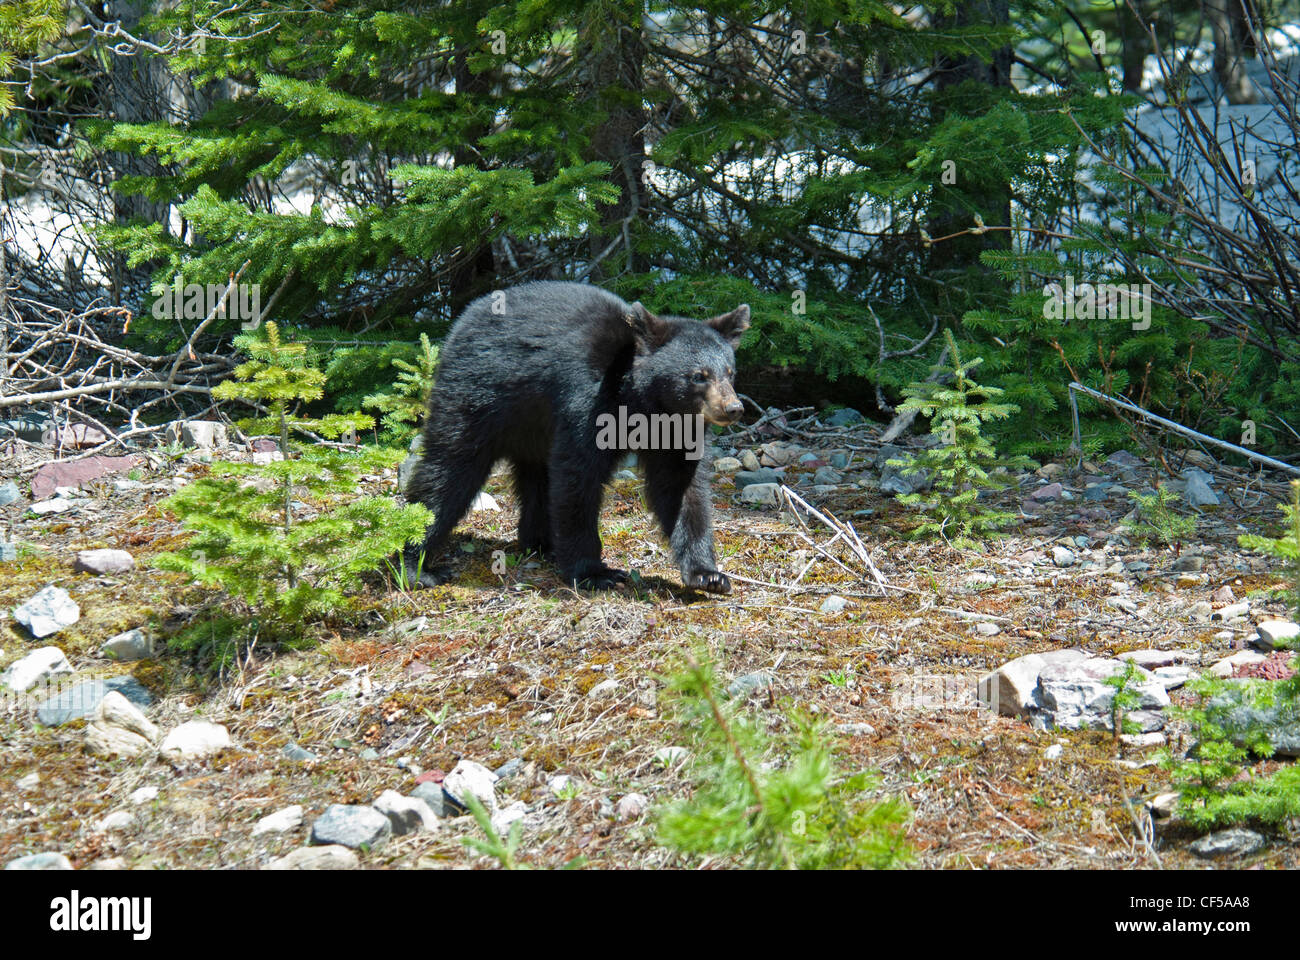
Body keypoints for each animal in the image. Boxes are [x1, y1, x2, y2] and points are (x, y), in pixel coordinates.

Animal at [405, 278, 754, 590]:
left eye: (730, 372)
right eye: (698, 376)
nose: (734, 408)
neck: (642, 402)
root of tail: (464, 318)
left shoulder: (677, 429)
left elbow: (680, 488)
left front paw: (707, 574)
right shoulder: (588, 399)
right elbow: (578, 477)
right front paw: (594, 573)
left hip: (531, 429)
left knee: (536, 479)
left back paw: (540, 542)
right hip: (476, 395)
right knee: (449, 470)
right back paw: (416, 563)